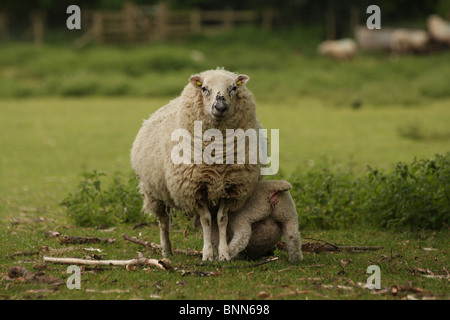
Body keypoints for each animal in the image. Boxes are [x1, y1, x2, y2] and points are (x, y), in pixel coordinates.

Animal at [130, 67, 262, 260]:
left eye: (233, 88)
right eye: (204, 88)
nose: (220, 107)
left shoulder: (230, 189)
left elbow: (222, 220)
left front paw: (223, 254)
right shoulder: (195, 189)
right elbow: (205, 220)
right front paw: (207, 255)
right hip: (153, 192)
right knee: (163, 222)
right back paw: (166, 251)